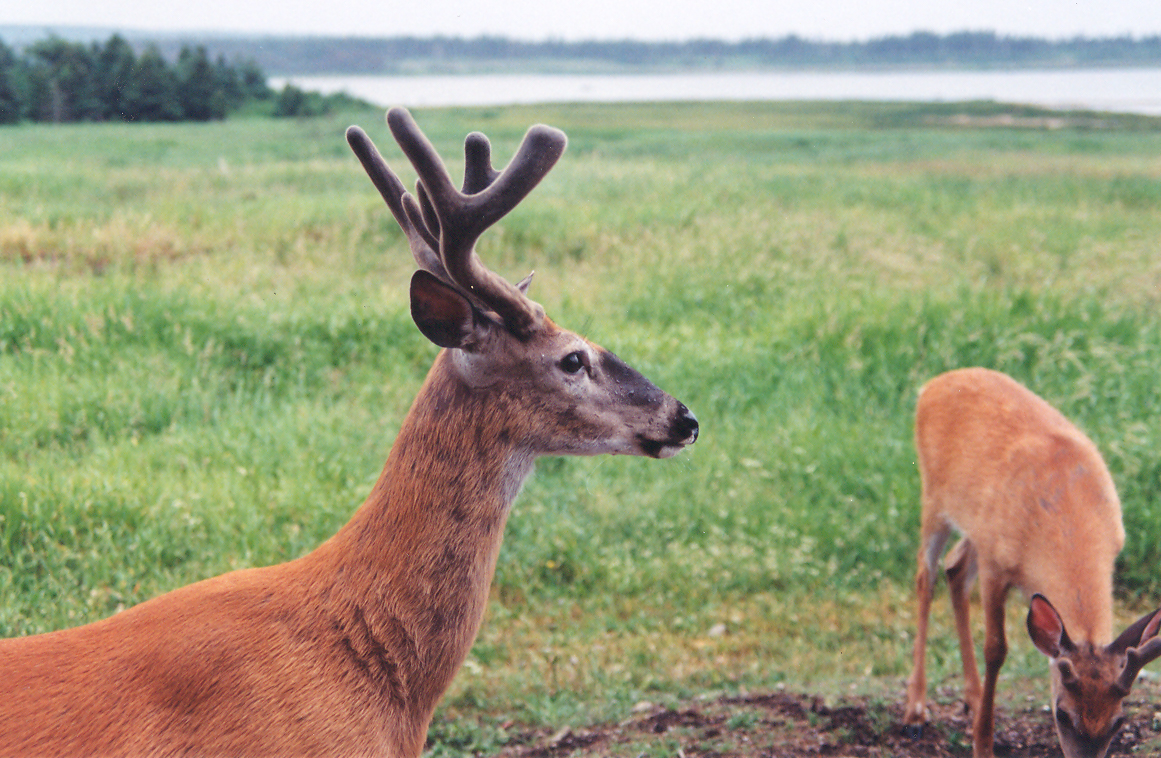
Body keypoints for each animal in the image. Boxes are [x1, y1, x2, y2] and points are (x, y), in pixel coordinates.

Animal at [902, 367, 1161, 758]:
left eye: (1119, 721)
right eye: (1061, 714)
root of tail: (933, 384)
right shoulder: (995, 565)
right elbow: (996, 649)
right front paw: (983, 744)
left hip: (976, 527)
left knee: (955, 569)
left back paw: (973, 698)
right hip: (934, 497)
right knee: (925, 575)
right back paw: (916, 709)